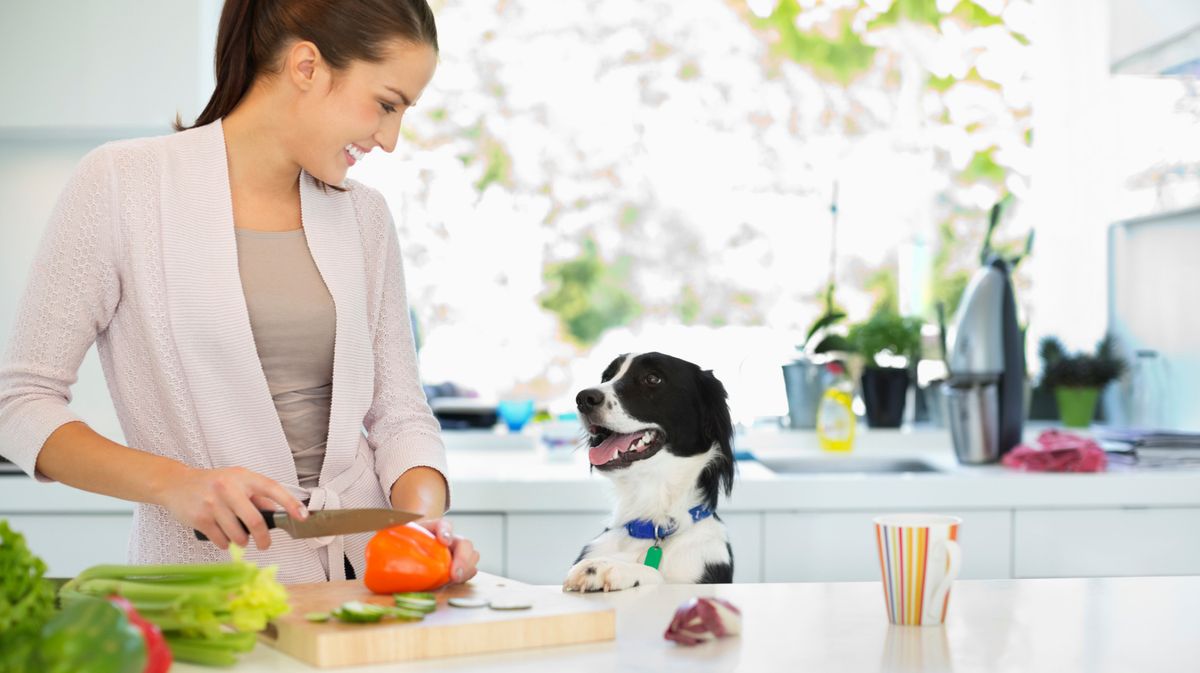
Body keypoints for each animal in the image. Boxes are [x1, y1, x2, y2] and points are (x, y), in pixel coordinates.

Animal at [564, 347, 739, 590]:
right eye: (607, 377)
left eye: (653, 378)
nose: (583, 398)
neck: (652, 523)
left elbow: (657, 576)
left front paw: (606, 567)